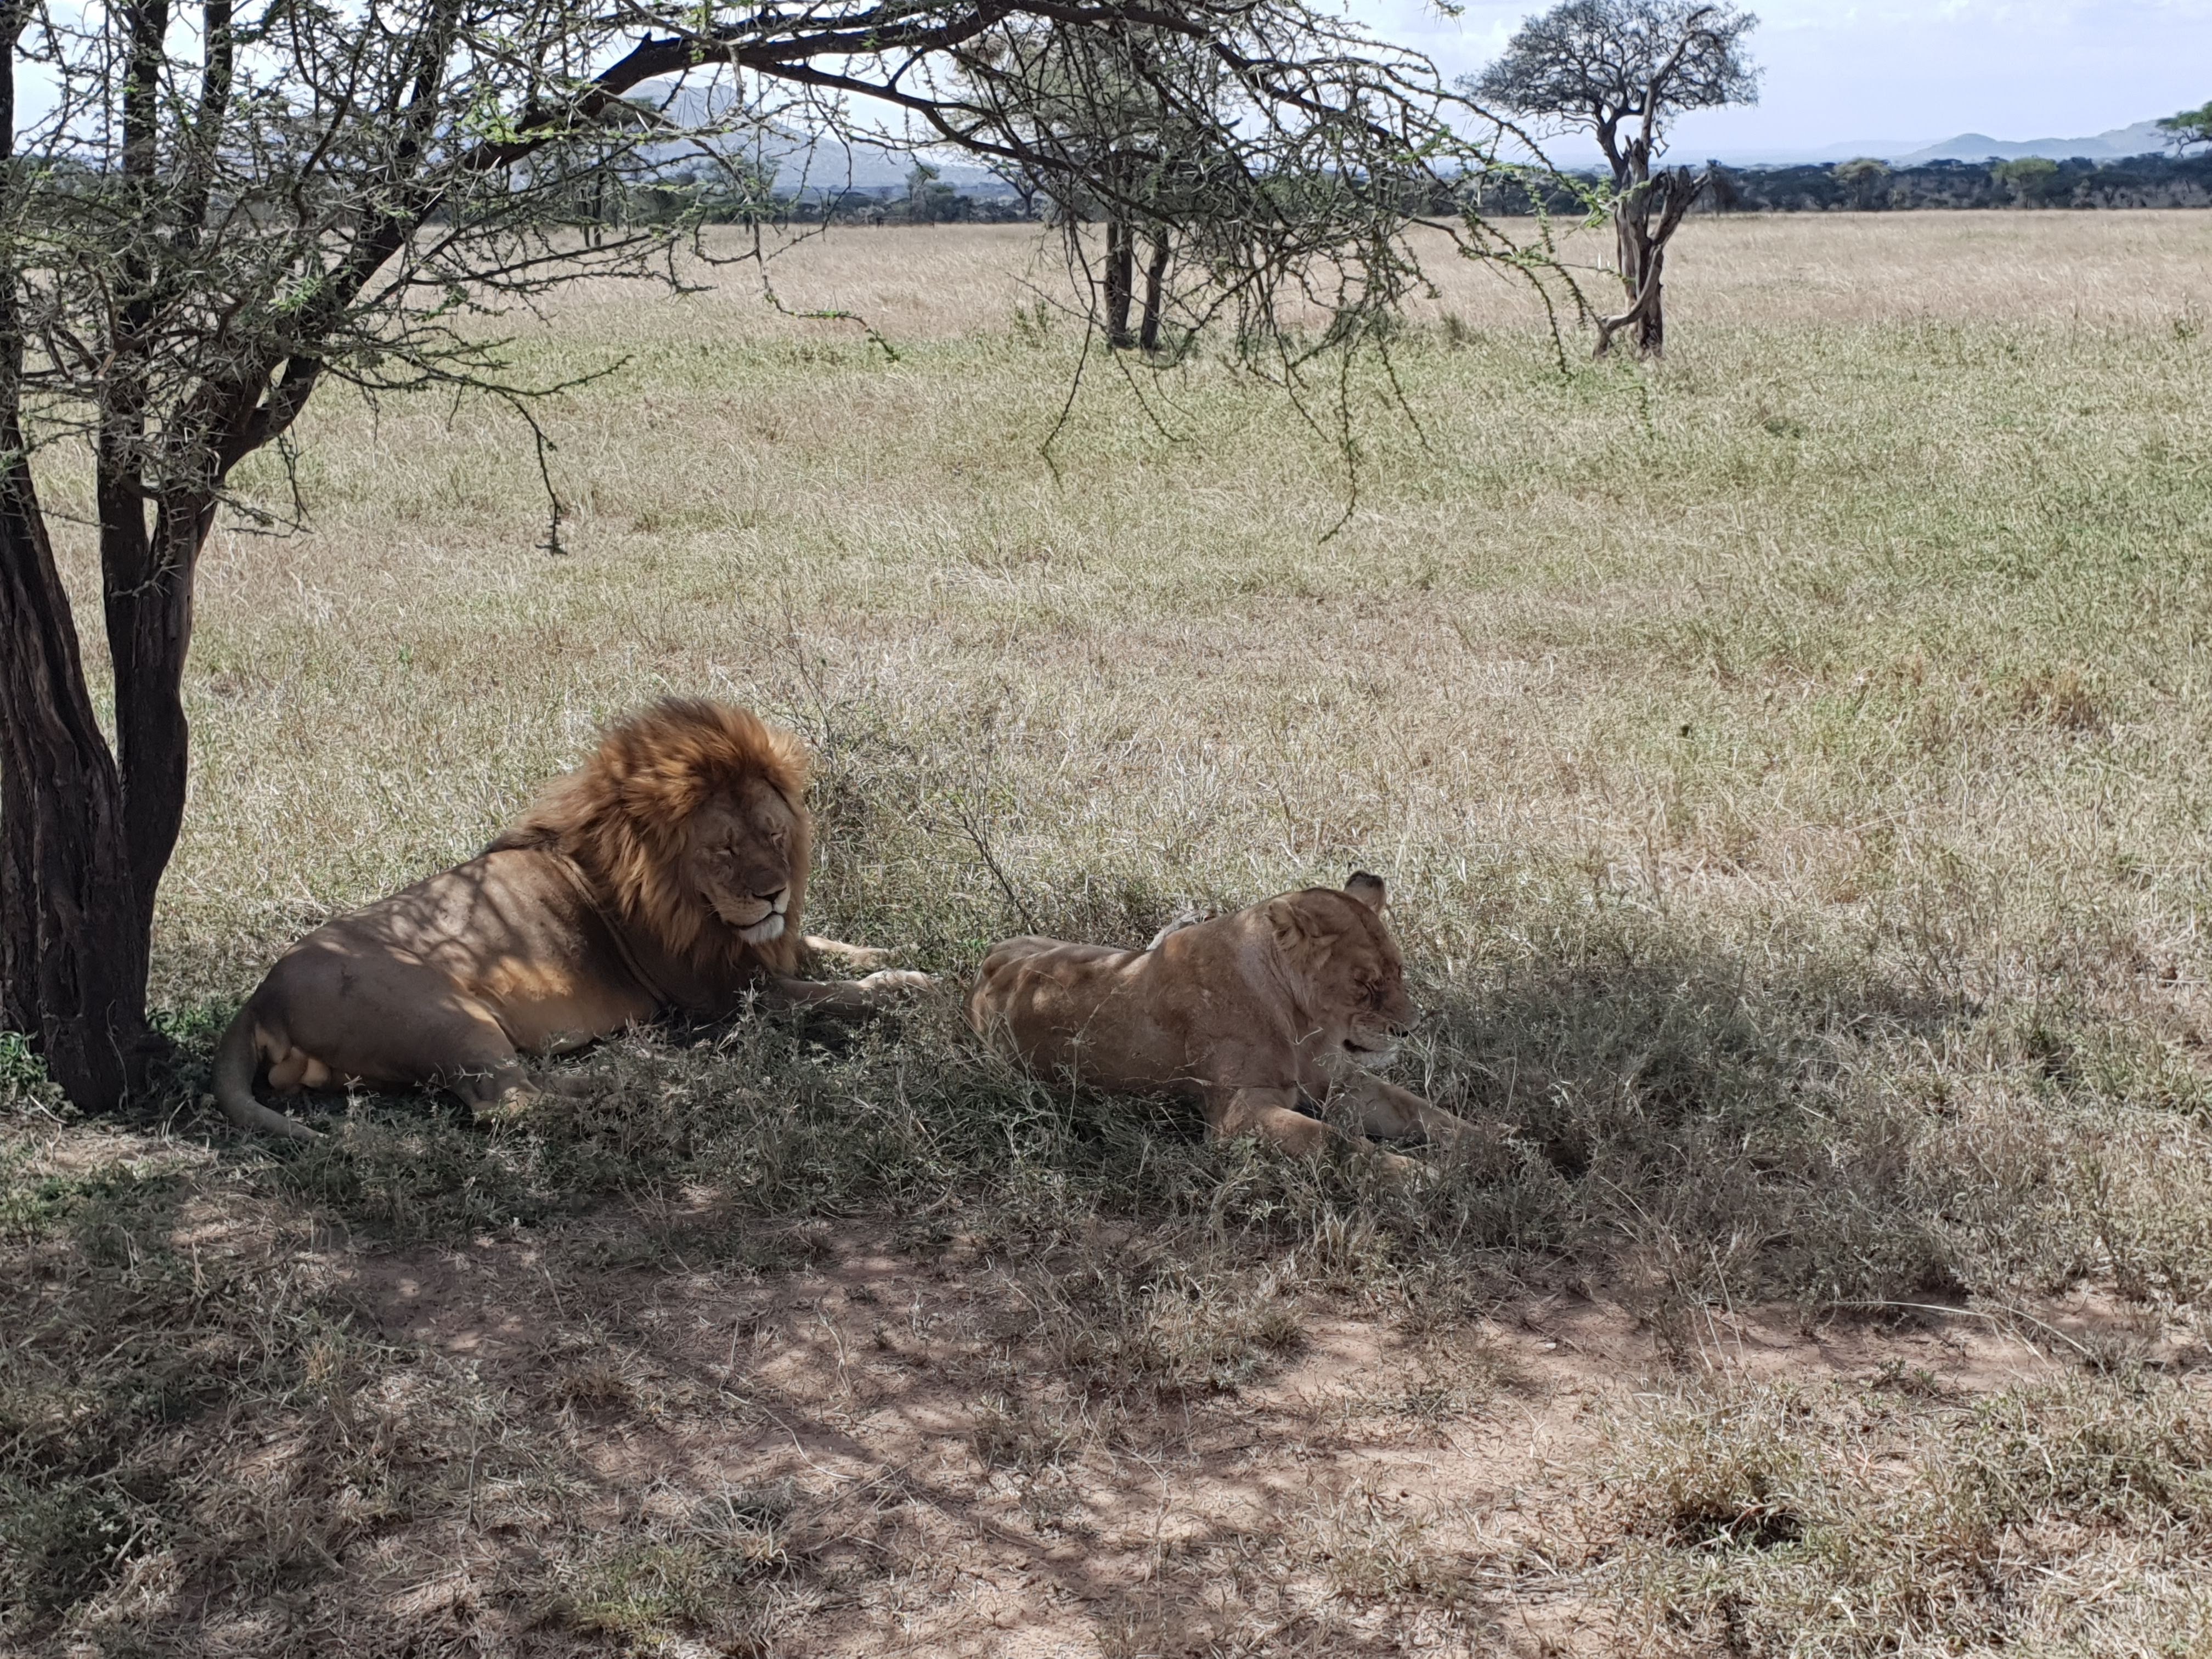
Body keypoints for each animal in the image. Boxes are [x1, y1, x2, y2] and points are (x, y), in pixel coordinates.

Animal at [214, 698, 930, 1140]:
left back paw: (641, 1075)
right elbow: (836, 994)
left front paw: (894, 957)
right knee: (506, 1105)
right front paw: (907, 989)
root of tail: (259, 997)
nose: (774, 894)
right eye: (725, 849)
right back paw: (648, 1093)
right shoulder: (726, 993)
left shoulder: (757, 950)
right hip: (444, 1015)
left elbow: (829, 946)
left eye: (774, 834)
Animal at [966, 872, 1475, 1170]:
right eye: (1364, 985)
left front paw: (1489, 1146)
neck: (1304, 1025)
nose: (1409, 1030)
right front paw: (1426, 1178)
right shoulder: (1239, 1117)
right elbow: (1341, 1144)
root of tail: (987, 964)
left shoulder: (1342, 1081)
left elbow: (1422, 1111)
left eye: (1400, 971)